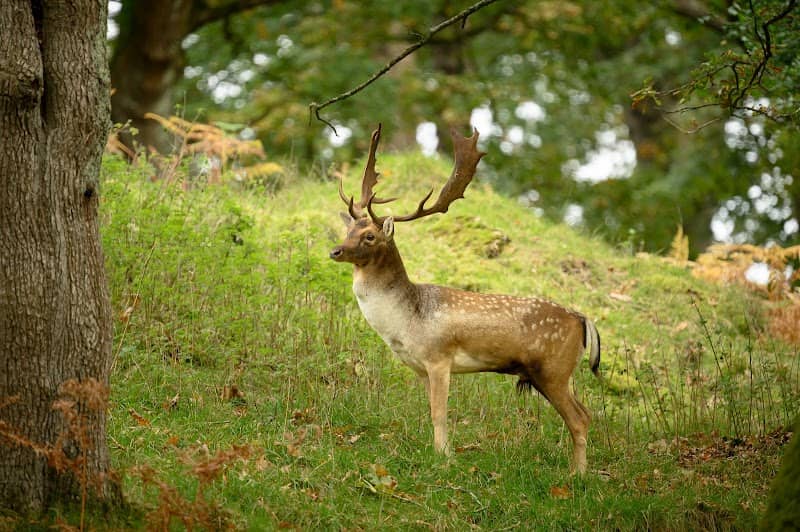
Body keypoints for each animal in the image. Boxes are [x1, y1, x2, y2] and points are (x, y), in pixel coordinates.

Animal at [329, 124, 601, 474]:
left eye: (370, 236)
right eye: (349, 230)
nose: (336, 251)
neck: (406, 321)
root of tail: (583, 319)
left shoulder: (438, 358)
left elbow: (439, 413)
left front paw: (443, 457)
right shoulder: (421, 368)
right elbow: (430, 411)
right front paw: (439, 452)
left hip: (553, 369)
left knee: (579, 419)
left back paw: (577, 475)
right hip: (557, 375)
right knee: (586, 413)